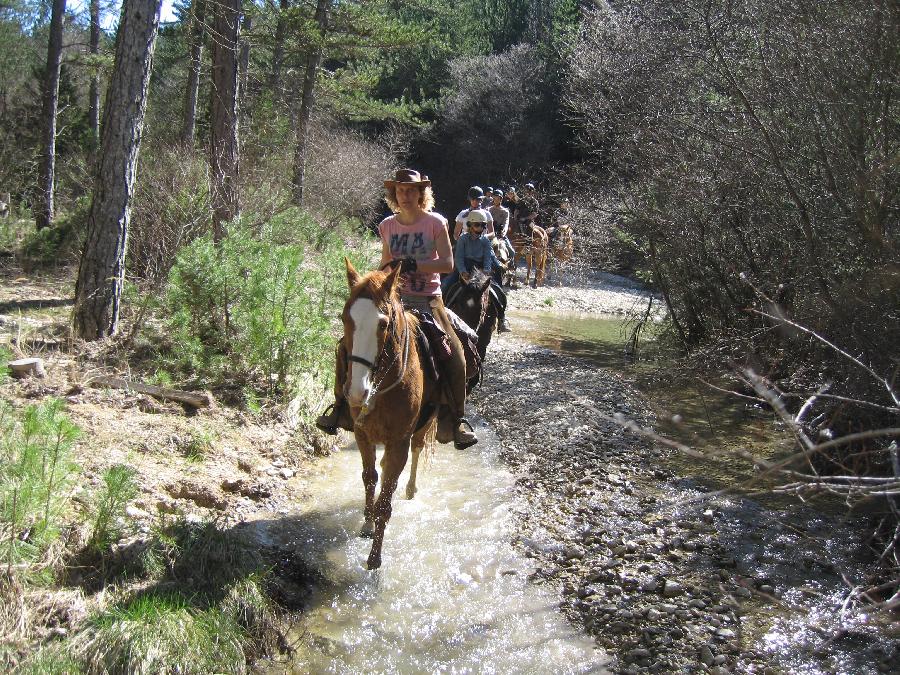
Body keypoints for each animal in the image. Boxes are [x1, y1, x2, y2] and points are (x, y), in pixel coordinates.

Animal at [342, 258, 440, 572]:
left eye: (383, 324)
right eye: (345, 318)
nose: (356, 392)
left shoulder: (399, 441)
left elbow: (386, 500)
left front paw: (374, 559)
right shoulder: (362, 434)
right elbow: (370, 477)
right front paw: (367, 522)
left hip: (425, 425)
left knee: (418, 449)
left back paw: (411, 488)